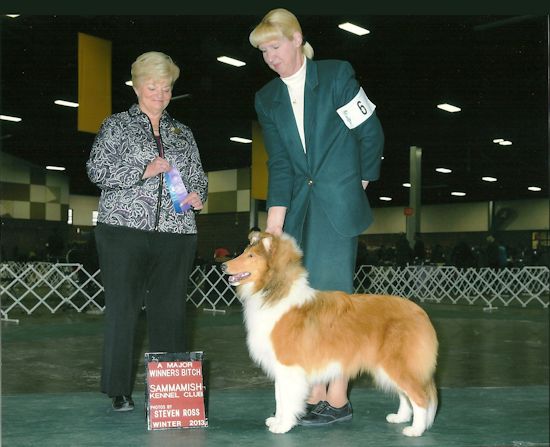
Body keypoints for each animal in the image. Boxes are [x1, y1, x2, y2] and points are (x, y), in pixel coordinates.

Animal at [223, 233, 440, 436]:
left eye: (251, 255)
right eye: (245, 252)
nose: (224, 266)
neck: (274, 294)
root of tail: (421, 313)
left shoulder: (288, 365)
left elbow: (287, 398)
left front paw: (283, 425)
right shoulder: (281, 367)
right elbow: (279, 397)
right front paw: (277, 420)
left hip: (399, 363)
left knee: (420, 397)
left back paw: (416, 430)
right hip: (387, 366)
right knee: (405, 394)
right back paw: (400, 417)